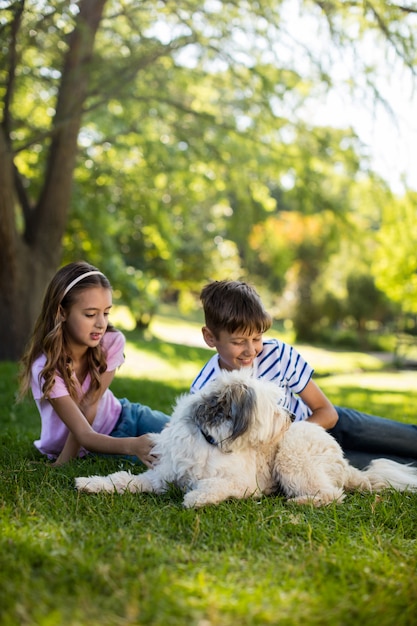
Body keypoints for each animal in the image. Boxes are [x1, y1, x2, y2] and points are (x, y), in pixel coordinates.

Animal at [75, 368, 416, 504]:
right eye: (271, 406)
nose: (291, 417)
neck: (210, 441)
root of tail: (344, 462)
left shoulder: (244, 484)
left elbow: (217, 485)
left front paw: (197, 497)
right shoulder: (161, 476)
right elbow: (123, 480)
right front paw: (91, 483)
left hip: (292, 455)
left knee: (333, 495)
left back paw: (302, 502)